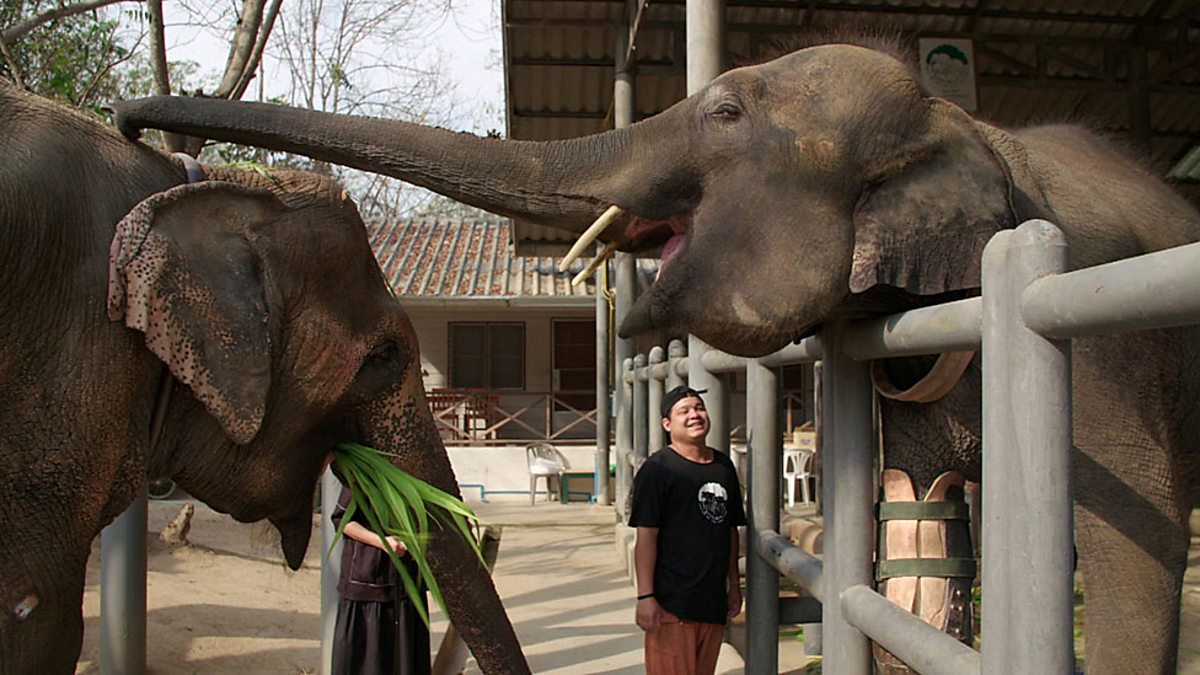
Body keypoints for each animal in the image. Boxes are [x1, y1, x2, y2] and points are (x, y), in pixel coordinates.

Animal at [114, 40, 1200, 667]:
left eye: (722, 113)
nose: (132, 115)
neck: (974, 127)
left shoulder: (1103, 334)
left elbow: (1137, 542)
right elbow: (912, 545)